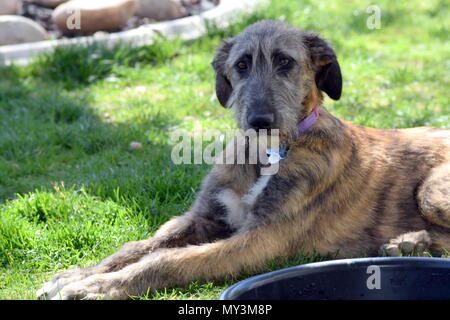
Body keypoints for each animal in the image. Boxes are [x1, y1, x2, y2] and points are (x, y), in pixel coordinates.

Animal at [37, 20, 450, 300]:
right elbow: (137, 247)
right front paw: (79, 274)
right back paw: (409, 244)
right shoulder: (203, 217)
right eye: (242, 65)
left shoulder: (262, 239)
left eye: (285, 62)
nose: (260, 120)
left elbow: (170, 260)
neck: (265, 155)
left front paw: (98, 286)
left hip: (431, 190)